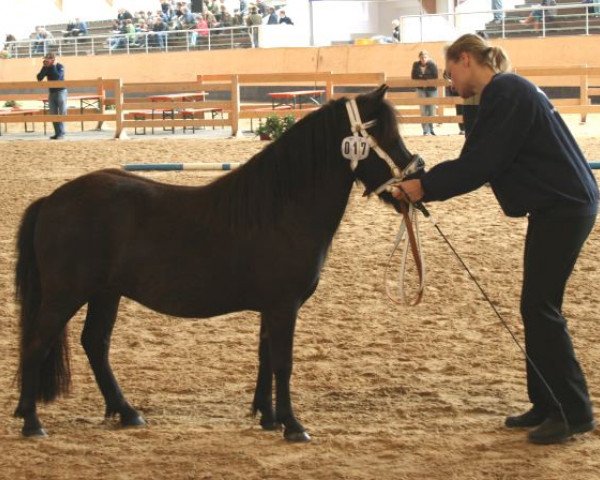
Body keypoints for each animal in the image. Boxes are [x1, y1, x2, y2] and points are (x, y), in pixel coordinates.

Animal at [14, 84, 418, 440]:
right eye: (381, 131)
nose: (414, 178)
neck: (281, 209)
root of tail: (51, 200)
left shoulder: (271, 308)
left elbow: (265, 357)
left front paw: (268, 418)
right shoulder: (284, 306)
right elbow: (283, 363)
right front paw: (293, 425)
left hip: (105, 293)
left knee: (95, 343)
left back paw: (127, 413)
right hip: (65, 295)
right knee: (37, 343)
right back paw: (32, 423)